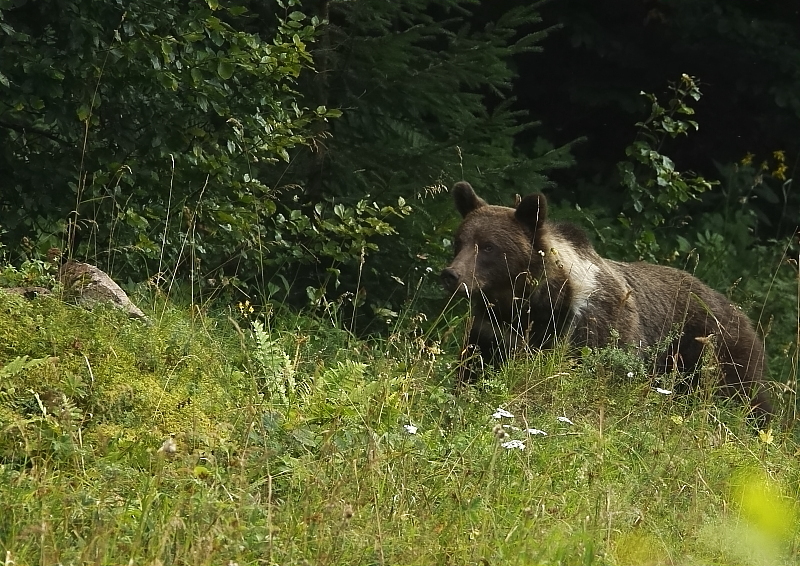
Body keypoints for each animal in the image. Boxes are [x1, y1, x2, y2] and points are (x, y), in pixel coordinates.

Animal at [440, 181, 772, 422]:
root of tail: (739, 311)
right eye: (460, 241)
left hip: (713, 351)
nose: (452, 275)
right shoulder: (494, 332)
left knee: (744, 398)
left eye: (489, 247)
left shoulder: (592, 330)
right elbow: (473, 370)